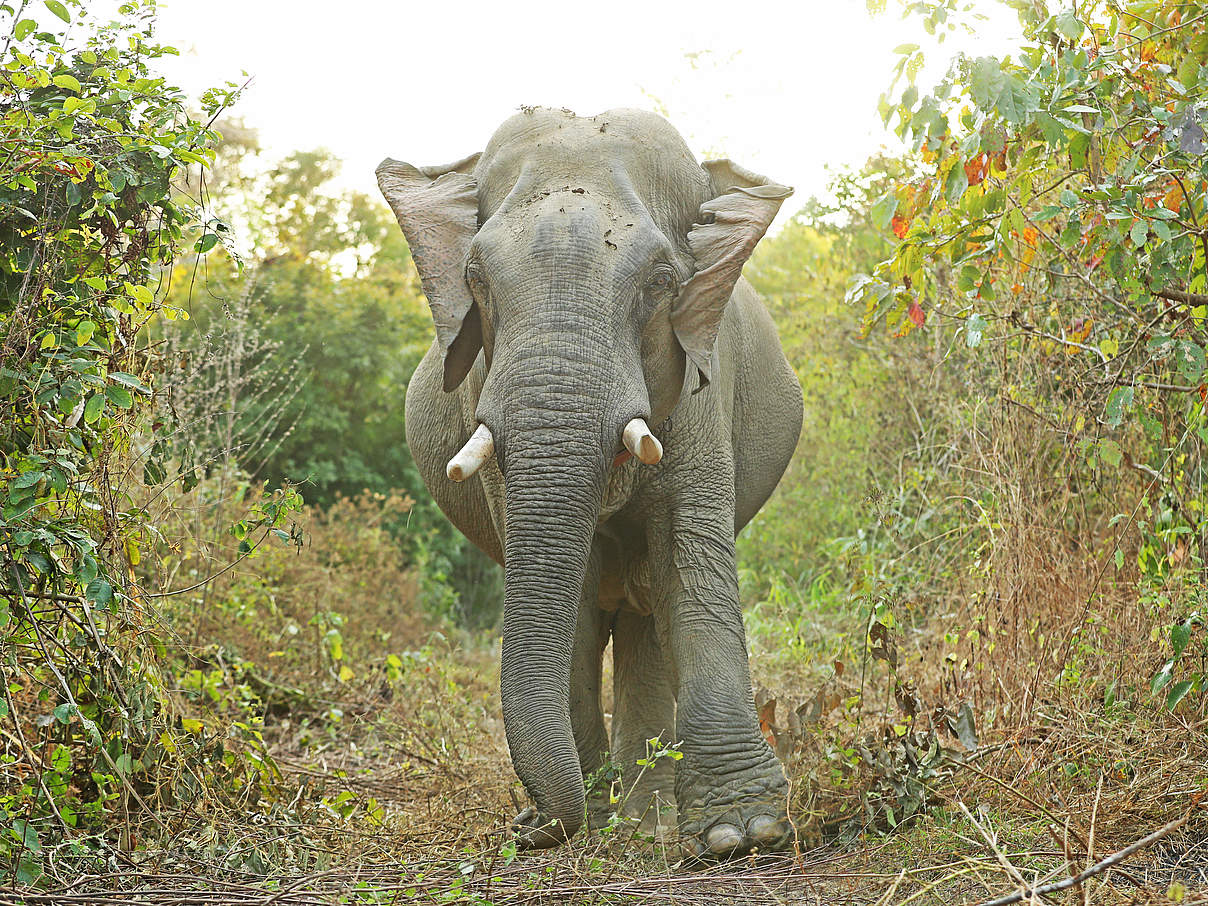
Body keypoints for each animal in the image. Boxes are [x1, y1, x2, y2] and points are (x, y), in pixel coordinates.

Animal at [379, 106, 802, 860]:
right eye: (475, 277)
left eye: (662, 282)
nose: (533, 828)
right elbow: (566, 595)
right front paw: (581, 820)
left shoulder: (703, 379)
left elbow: (688, 562)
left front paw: (742, 835)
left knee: (647, 614)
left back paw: (644, 820)